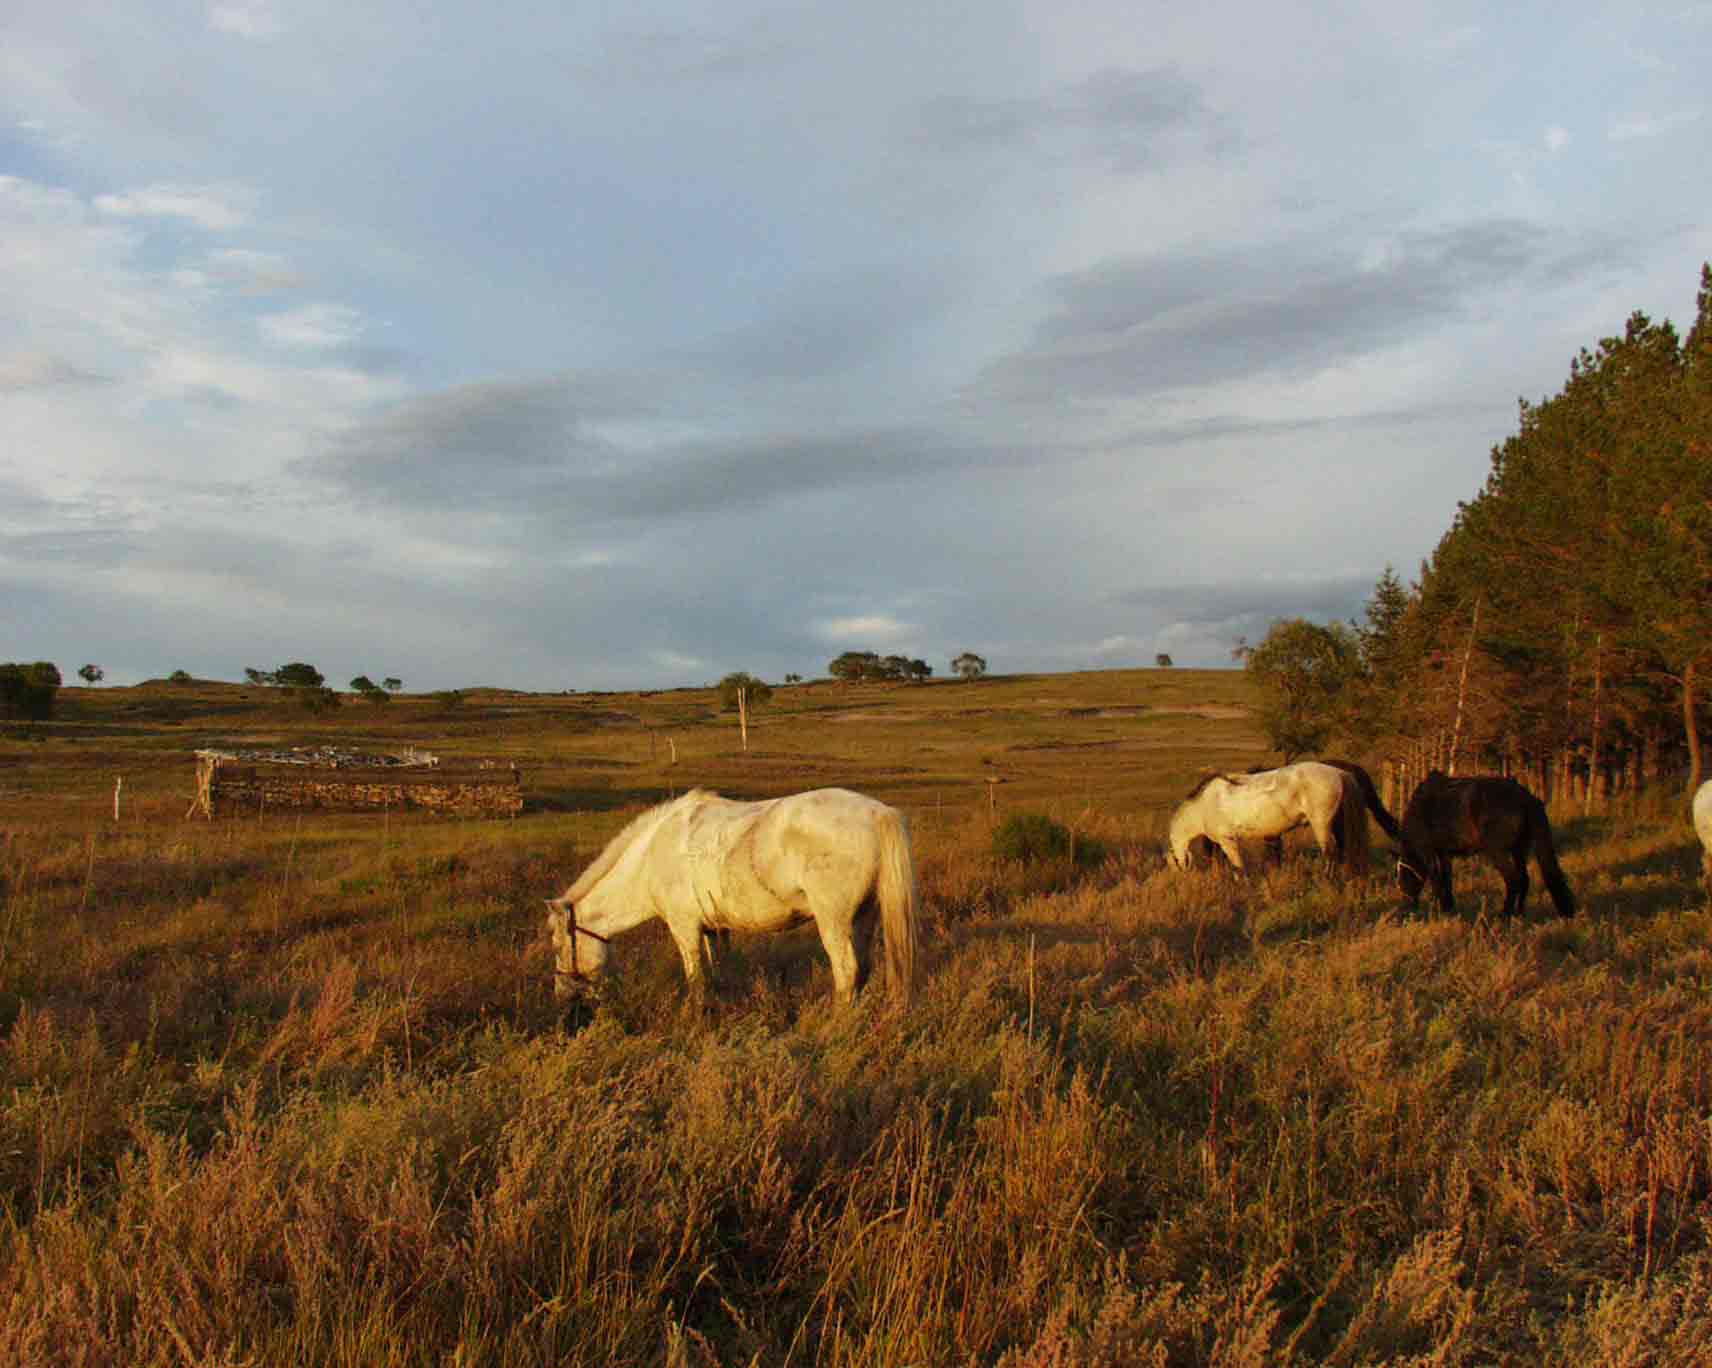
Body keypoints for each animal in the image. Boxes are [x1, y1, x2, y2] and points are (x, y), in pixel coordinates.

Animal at [547, 791, 924, 1006]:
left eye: (557, 944)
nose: (562, 995)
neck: (651, 854)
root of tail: (878, 812)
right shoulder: (714, 929)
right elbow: (719, 972)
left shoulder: (684, 929)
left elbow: (696, 980)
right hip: (864, 917)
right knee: (863, 971)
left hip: (833, 921)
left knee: (846, 973)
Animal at [1171, 760, 1369, 876]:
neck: (1203, 805)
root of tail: (1340, 773)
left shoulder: (1228, 841)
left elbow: (1238, 868)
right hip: (1337, 824)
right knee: (1343, 851)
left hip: (1321, 825)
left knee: (1330, 854)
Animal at [1396, 770, 1568, 917]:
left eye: (1404, 876)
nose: (1406, 906)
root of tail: (1526, 797)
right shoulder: (1444, 852)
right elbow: (1446, 877)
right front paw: (1449, 908)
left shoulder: (1427, 850)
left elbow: (1436, 878)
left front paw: (1441, 908)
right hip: (1519, 849)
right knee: (1524, 878)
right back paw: (1518, 914)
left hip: (1497, 852)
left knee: (1513, 879)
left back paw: (1505, 915)